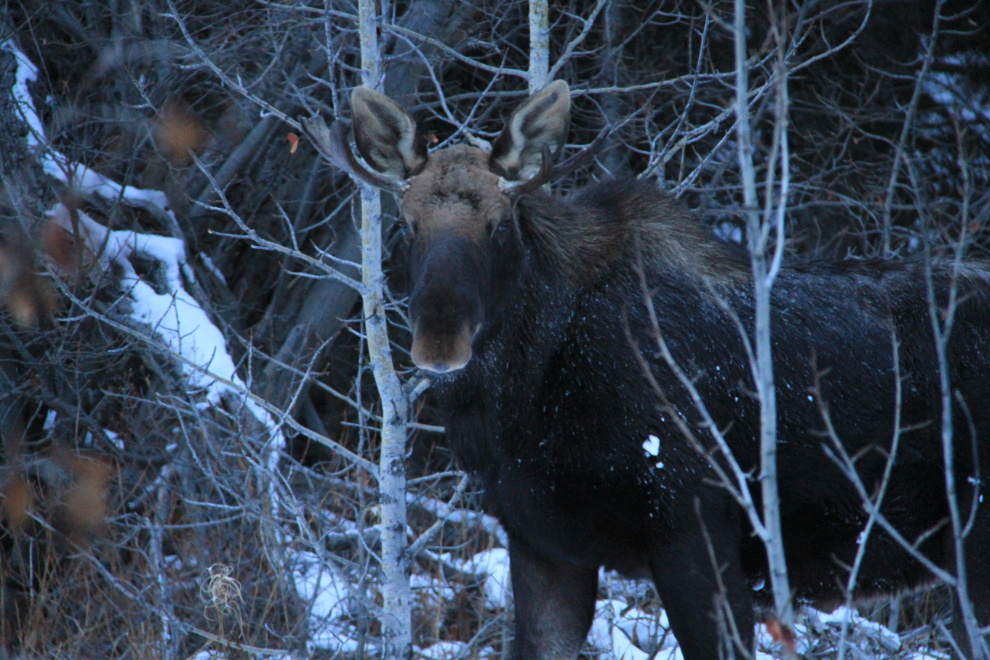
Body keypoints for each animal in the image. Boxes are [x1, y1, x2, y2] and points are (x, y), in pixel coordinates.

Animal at [302, 82, 990, 660]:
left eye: (499, 225)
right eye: (405, 224)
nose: (439, 339)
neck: (522, 407)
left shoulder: (694, 527)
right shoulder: (542, 542)